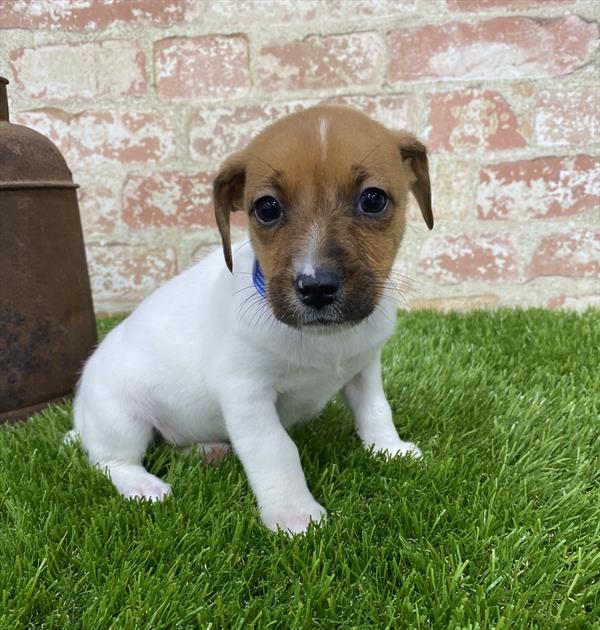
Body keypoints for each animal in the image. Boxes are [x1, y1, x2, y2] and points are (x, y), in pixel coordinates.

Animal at [72, 106, 432, 536]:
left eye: (373, 200)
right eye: (267, 208)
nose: (316, 288)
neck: (323, 341)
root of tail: (80, 414)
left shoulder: (364, 368)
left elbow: (376, 409)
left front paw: (389, 449)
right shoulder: (246, 395)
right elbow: (276, 449)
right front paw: (294, 515)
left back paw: (206, 450)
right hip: (120, 418)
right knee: (111, 462)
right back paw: (143, 485)